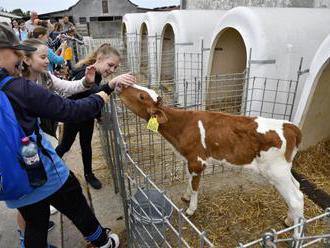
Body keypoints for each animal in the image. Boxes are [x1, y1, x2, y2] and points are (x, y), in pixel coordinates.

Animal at [118, 85, 304, 227]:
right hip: (284, 170)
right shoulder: (189, 160)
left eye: (141, 96)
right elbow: (189, 180)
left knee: (296, 199)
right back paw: (289, 220)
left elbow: (195, 187)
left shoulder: (197, 161)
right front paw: (185, 196)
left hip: (276, 172)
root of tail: (291, 127)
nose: (121, 86)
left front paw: (191, 209)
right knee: (298, 189)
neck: (182, 125)